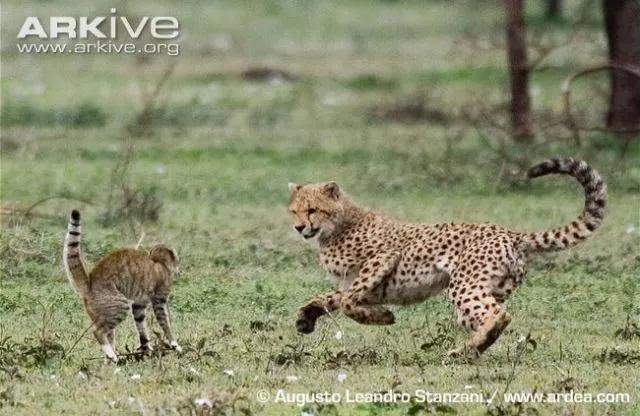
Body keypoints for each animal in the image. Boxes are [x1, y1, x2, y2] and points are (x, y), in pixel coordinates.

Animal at [288, 158, 608, 354]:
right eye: (294, 210)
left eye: (313, 209)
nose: (299, 227)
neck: (337, 226)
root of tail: (509, 232)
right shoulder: (351, 282)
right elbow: (329, 298)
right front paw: (306, 318)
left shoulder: (384, 258)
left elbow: (347, 302)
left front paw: (383, 316)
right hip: (491, 290)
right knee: (492, 315)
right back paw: (474, 348)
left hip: (465, 285)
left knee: (499, 315)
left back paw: (464, 351)